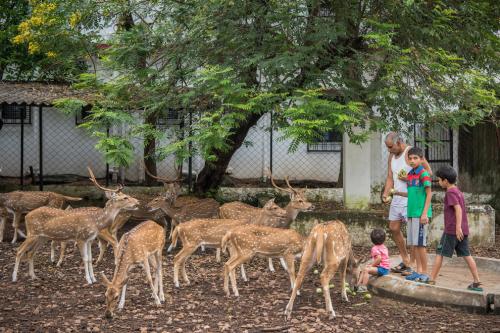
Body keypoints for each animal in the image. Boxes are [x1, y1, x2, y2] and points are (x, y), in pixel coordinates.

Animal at [12, 166, 140, 282]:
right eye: (125, 197)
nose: (137, 202)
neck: (96, 222)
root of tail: (27, 216)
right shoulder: (80, 238)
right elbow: (85, 258)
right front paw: (88, 280)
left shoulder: (89, 239)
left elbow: (89, 258)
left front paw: (94, 279)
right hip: (32, 233)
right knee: (19, 250)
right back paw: (14, 278)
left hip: (42, 237)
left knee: (31, 252)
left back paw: (34, 276)